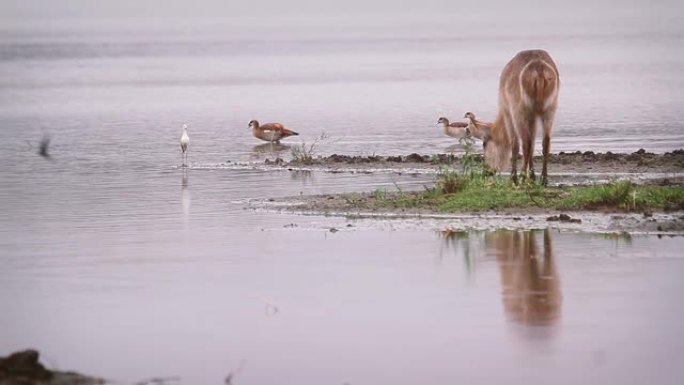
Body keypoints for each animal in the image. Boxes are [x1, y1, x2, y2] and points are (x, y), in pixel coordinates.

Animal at [468, 49, 560, 184]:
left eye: (484, 143)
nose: (486, 172)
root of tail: (539, 68)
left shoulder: (508, 113)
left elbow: (515, 144)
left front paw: (515, 178)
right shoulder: (533, 117)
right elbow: (533, 143)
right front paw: (532, 177)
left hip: (519, 112)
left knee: (525, 142)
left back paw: (521, 177)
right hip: (549, 110)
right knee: (545, 141)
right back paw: (543, 179)